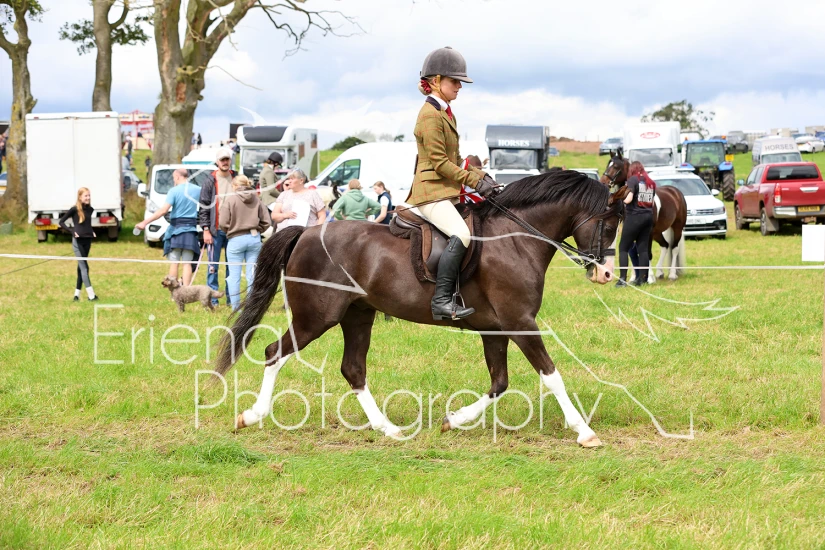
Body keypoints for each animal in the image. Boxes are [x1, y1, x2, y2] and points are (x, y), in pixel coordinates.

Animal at [215, 170, 626, 448]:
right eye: (607, 223)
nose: (606, 273)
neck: (515, 240)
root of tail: (306, 232)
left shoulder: (496, 328)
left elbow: (499, 383)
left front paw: (453, 420)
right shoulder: (520, 323)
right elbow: (551, 376)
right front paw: (585, 432)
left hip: (358, 315)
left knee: (353, 369)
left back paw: (388, 428)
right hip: (316, 318)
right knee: (275, 352)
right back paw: (251, 415)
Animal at [601, 150, 687, 281]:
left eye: (616, 166)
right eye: (607, 165)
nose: (603, 182)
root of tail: (676, 192)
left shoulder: (648, 233)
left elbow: (647, 253)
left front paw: (649, 277)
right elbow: (632, 252)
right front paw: (633, 277)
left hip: (676, 228)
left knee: (674, 248)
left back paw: (672, 274)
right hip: (658, 232)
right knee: (665, 246)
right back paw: (659, 272)